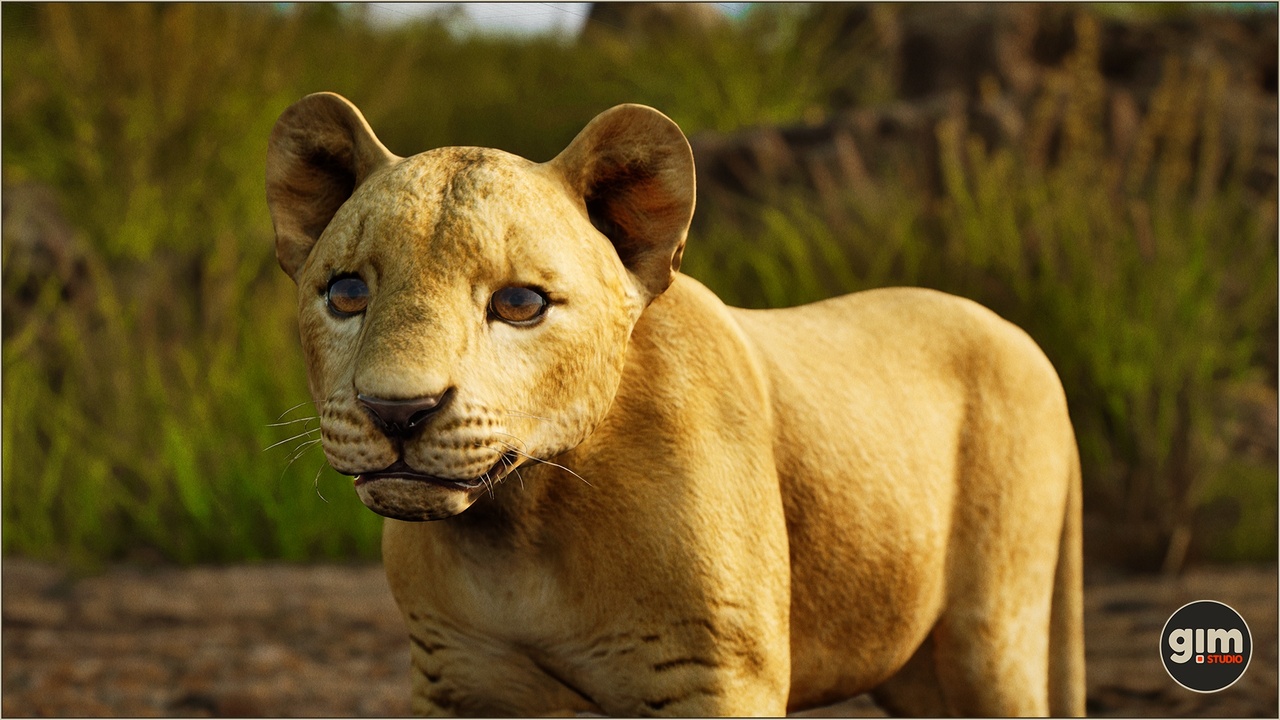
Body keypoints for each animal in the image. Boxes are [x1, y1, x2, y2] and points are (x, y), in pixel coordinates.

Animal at [265, 92, 1085, 717]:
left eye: (520, 304)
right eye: (347, 292)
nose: (396, 411)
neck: (521, 531)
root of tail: (1021, 336)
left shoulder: (715, 676)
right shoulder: (457, 677)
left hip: (992, 638)